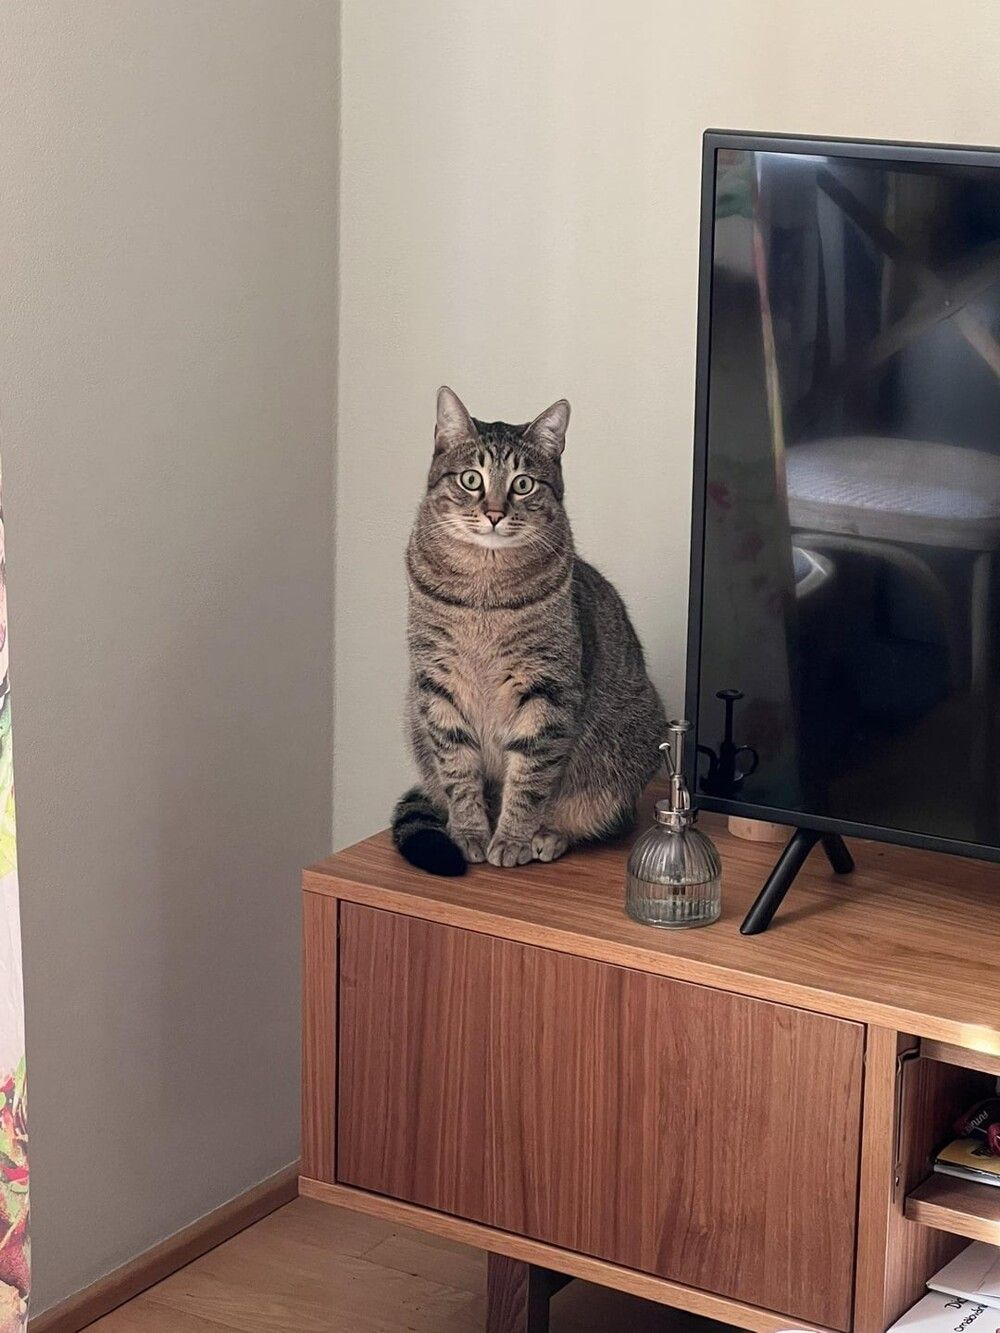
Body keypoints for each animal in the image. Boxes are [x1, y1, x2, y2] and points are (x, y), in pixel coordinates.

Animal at [392, 386, 666, 875]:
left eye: (523, 484)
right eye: (471, 479)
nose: (494, 514)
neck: (483, 591)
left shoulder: (547, 689)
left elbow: (530, 777)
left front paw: (512, 838)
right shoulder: (438, 684)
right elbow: (458, 772)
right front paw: (469, 832)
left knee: (597, 816)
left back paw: (549, 835)